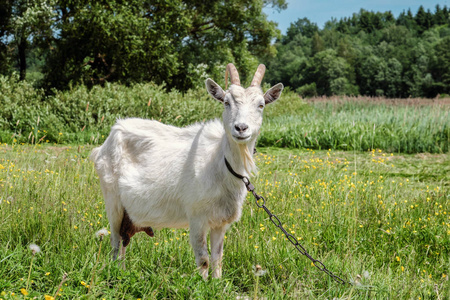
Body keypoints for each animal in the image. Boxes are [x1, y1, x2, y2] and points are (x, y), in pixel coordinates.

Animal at [89, 63, 284, 278]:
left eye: (261, 105)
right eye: (226, 102)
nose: (241, 128)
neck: (220, 164)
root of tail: (108, 139)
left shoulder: (221, 222)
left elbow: (217, 258)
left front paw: (217, 282)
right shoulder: (196, 217)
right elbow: (204, 260)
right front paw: (202, 282)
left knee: (123, 242)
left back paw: (123, 273)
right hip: (113, 200)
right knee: (115, 242)